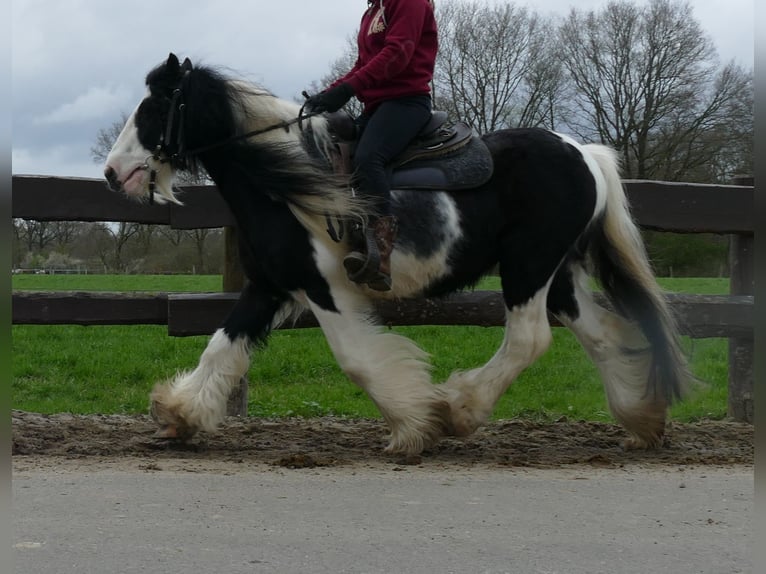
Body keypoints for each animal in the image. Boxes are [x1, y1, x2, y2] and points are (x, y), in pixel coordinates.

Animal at [103, 55, 696, 460]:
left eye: (156, 107)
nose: (113, 173)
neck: (287, 183)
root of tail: (585, 154)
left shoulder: (326, 289)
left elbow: (358, 361)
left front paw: (416, 423)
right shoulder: (269, 285)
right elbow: (221, 349)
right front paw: (179, 415)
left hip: (528, 267)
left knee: (529, 339)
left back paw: (460, 408)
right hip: (559, 274)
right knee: (601, 336)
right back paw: (642, 419)